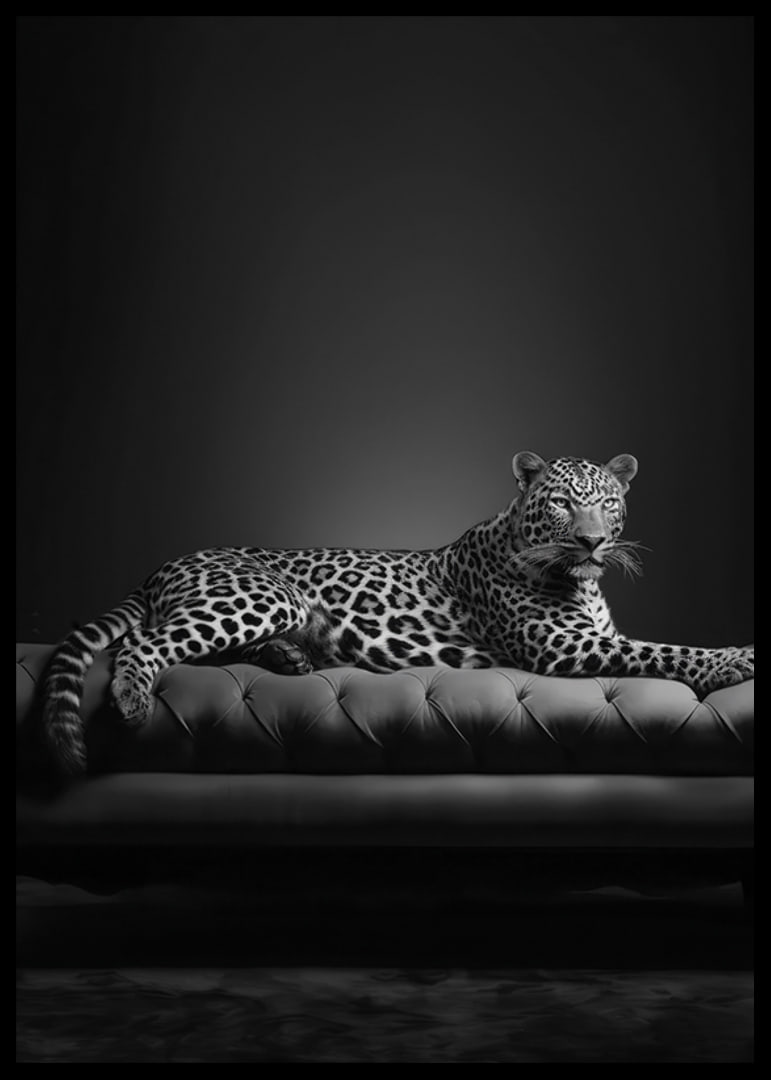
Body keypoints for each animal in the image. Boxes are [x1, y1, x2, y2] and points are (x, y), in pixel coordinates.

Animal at [41, 451, 754, 775]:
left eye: (607, 503)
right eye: (561, 503)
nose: (591, 542)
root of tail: (162, 565)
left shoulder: (595, 634)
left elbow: (656, 644)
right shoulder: (564, 647)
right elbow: (665, 650)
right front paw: (736, 659)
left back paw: (290, 657)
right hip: (263, 595)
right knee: (143, 645)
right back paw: (133, 699)